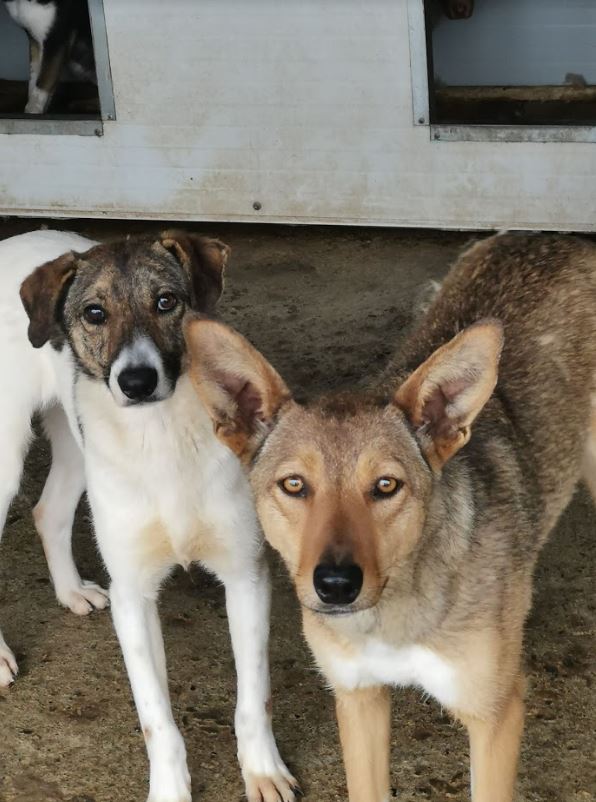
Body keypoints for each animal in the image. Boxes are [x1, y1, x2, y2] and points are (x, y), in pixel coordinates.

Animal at [0, 228, 296, 800]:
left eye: (166, 302)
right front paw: (170, 789)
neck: (161, 438)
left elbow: (255, 698)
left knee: (48, 511)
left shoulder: (247, 577)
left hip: (78, 446)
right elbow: (156, 718)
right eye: (94, 313)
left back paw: (71, 592)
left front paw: (262, 771)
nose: (136, 381)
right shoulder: (133, 596)